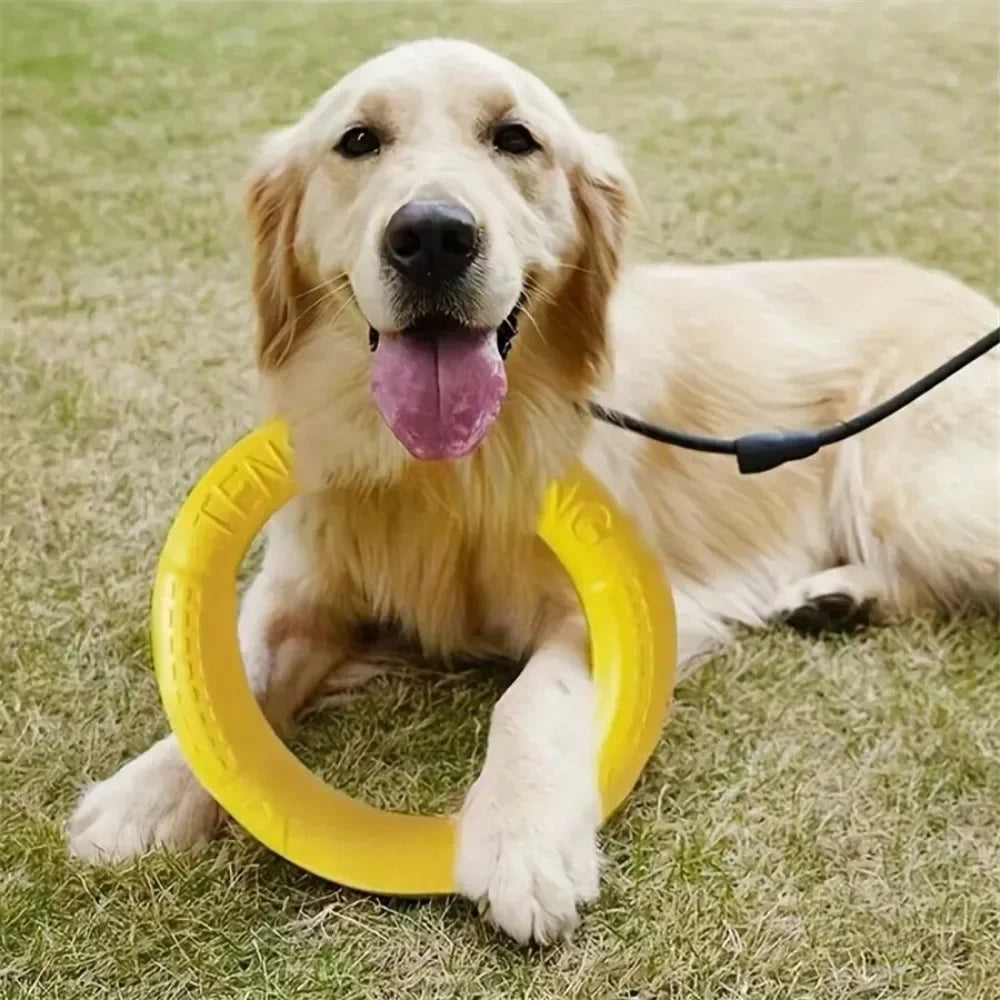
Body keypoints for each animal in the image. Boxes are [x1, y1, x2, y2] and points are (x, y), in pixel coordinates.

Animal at [66, 41, 996, 944]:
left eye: (515, 139)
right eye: (359, 141)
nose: (431, 236)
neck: (442, 472)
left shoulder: (608, 611)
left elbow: (527, 702)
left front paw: (522, 842)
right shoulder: (304, 586)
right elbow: (237, 667)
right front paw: (146, 791)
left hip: (913, 489)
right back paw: (837, 598)